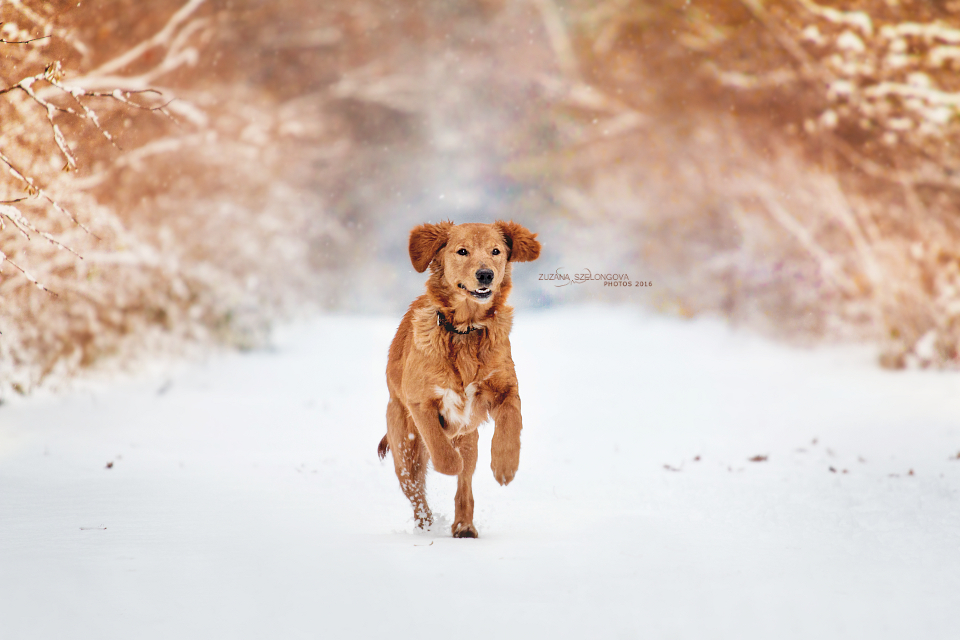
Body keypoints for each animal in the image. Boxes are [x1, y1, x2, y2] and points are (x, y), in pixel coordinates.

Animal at [376, 219, 540, 536]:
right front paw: (451, 462)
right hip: (404, 449)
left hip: (469, 440)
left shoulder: (506, 390)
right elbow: (441, 451)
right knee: (418, 493)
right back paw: (427, 526)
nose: (486, 274)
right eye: (462, 251)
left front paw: (505, 465)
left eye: (496, 251)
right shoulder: (421, 402)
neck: (466, 329)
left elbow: (511, 423)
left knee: (465, 486)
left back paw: (464, 526)